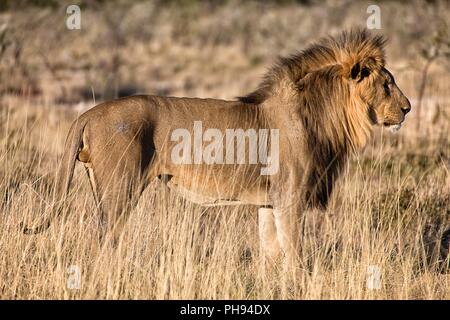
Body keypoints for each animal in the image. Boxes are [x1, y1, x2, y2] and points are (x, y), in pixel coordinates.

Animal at [24, 29, 412, 264]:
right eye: (387, 85)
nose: (408, 108)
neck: (321, 113)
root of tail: (88, 112)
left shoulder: (268, 201)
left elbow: (271, 253)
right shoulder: (290, 196)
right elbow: (295, 257)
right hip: (120, 189)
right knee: (104, 240)